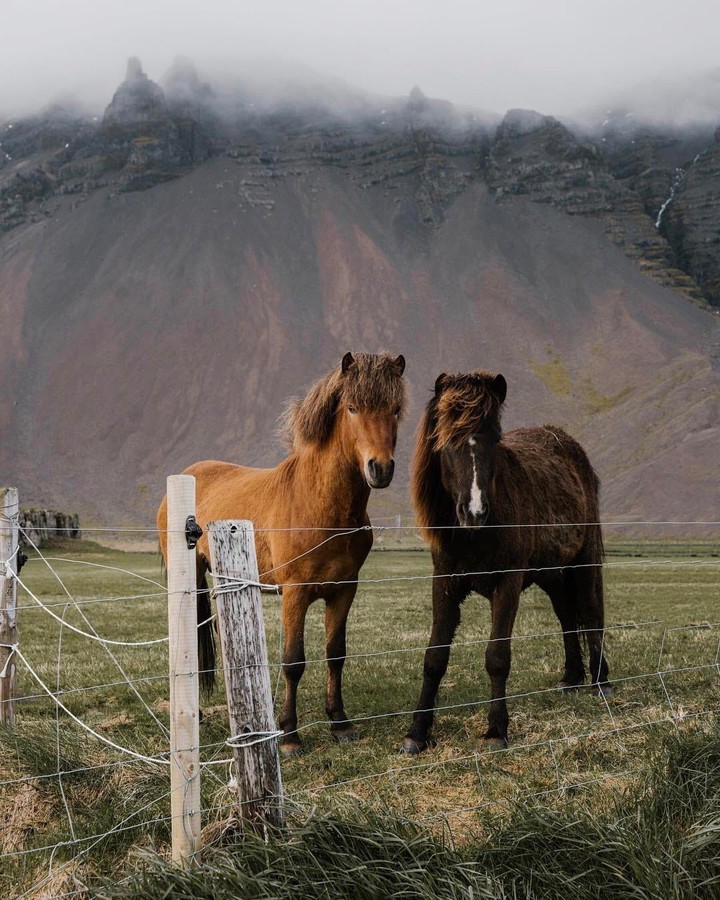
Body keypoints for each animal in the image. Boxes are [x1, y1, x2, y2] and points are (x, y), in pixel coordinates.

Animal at [158, 351, 406, 756]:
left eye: (395, 409)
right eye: (352, 407)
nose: (380, 468)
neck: (320, 505)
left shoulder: (344, 591)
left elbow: (336, 654)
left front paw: (340, 723)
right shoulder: (295, 593)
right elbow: (293, 662)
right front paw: (289, 734)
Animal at [402, 370, 610, 755]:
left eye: (496, 438)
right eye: (445, 439)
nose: (474, 512)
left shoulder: (507, 584)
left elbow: (497, 657)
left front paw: (496, 730)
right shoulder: (444, 583)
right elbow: (434, 658)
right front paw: (417, 733)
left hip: (584, 562)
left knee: (591, 613)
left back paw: (601, 682)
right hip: (551, 573)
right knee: (566, 615)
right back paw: (571, 678)